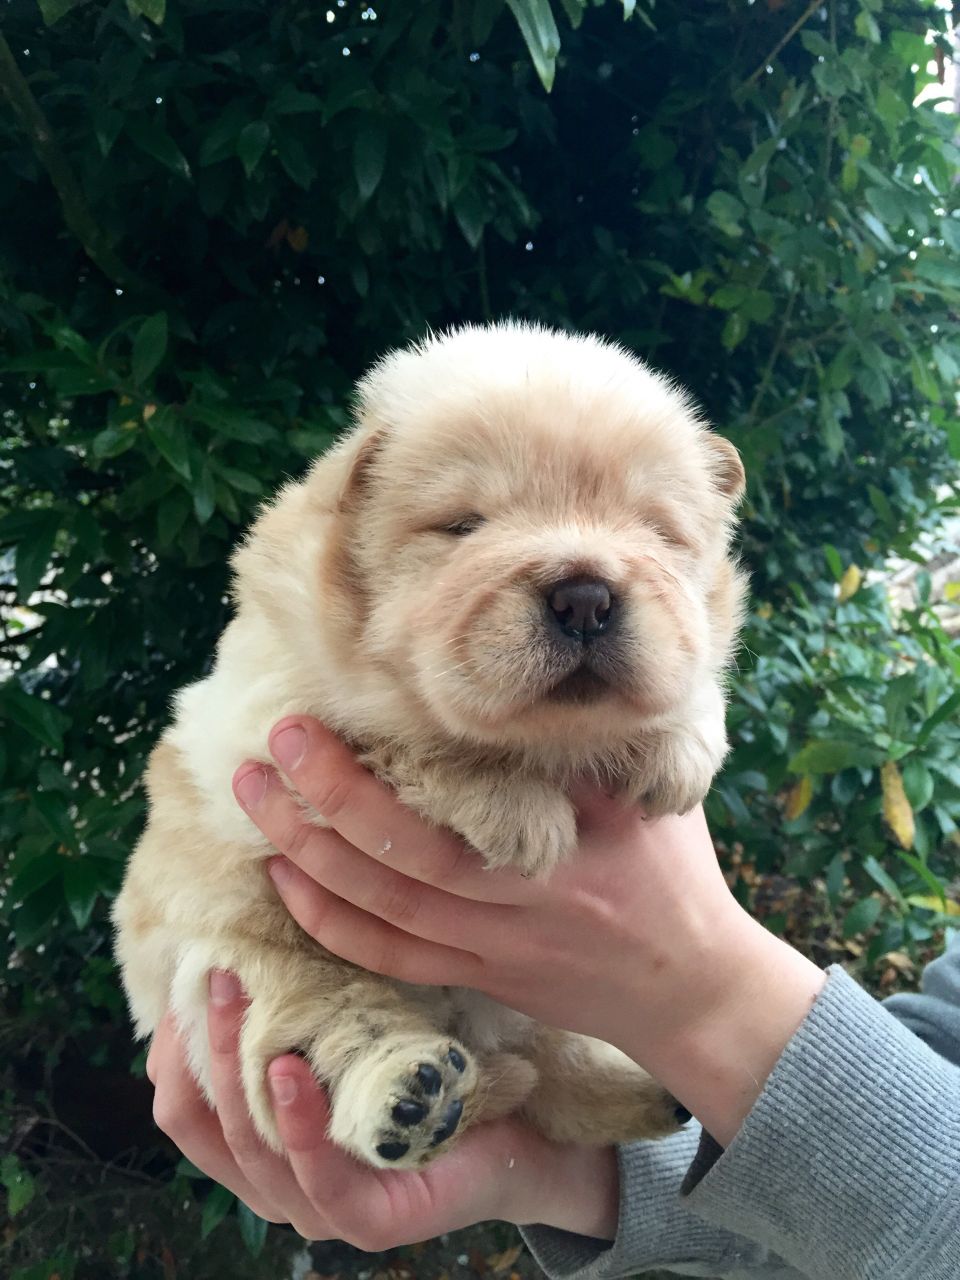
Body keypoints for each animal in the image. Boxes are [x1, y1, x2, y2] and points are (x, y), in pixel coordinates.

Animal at [114, 322, 752, 1172]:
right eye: (462, 525)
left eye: (655, 529)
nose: (585, 598)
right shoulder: (271, 717)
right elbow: (403, 737)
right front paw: (518, 813)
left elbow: (694, 669)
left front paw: (677, 754)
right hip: (252, 963)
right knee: (330, 1040)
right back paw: (414, 1094)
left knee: (556, 1069)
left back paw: (646, 1090)